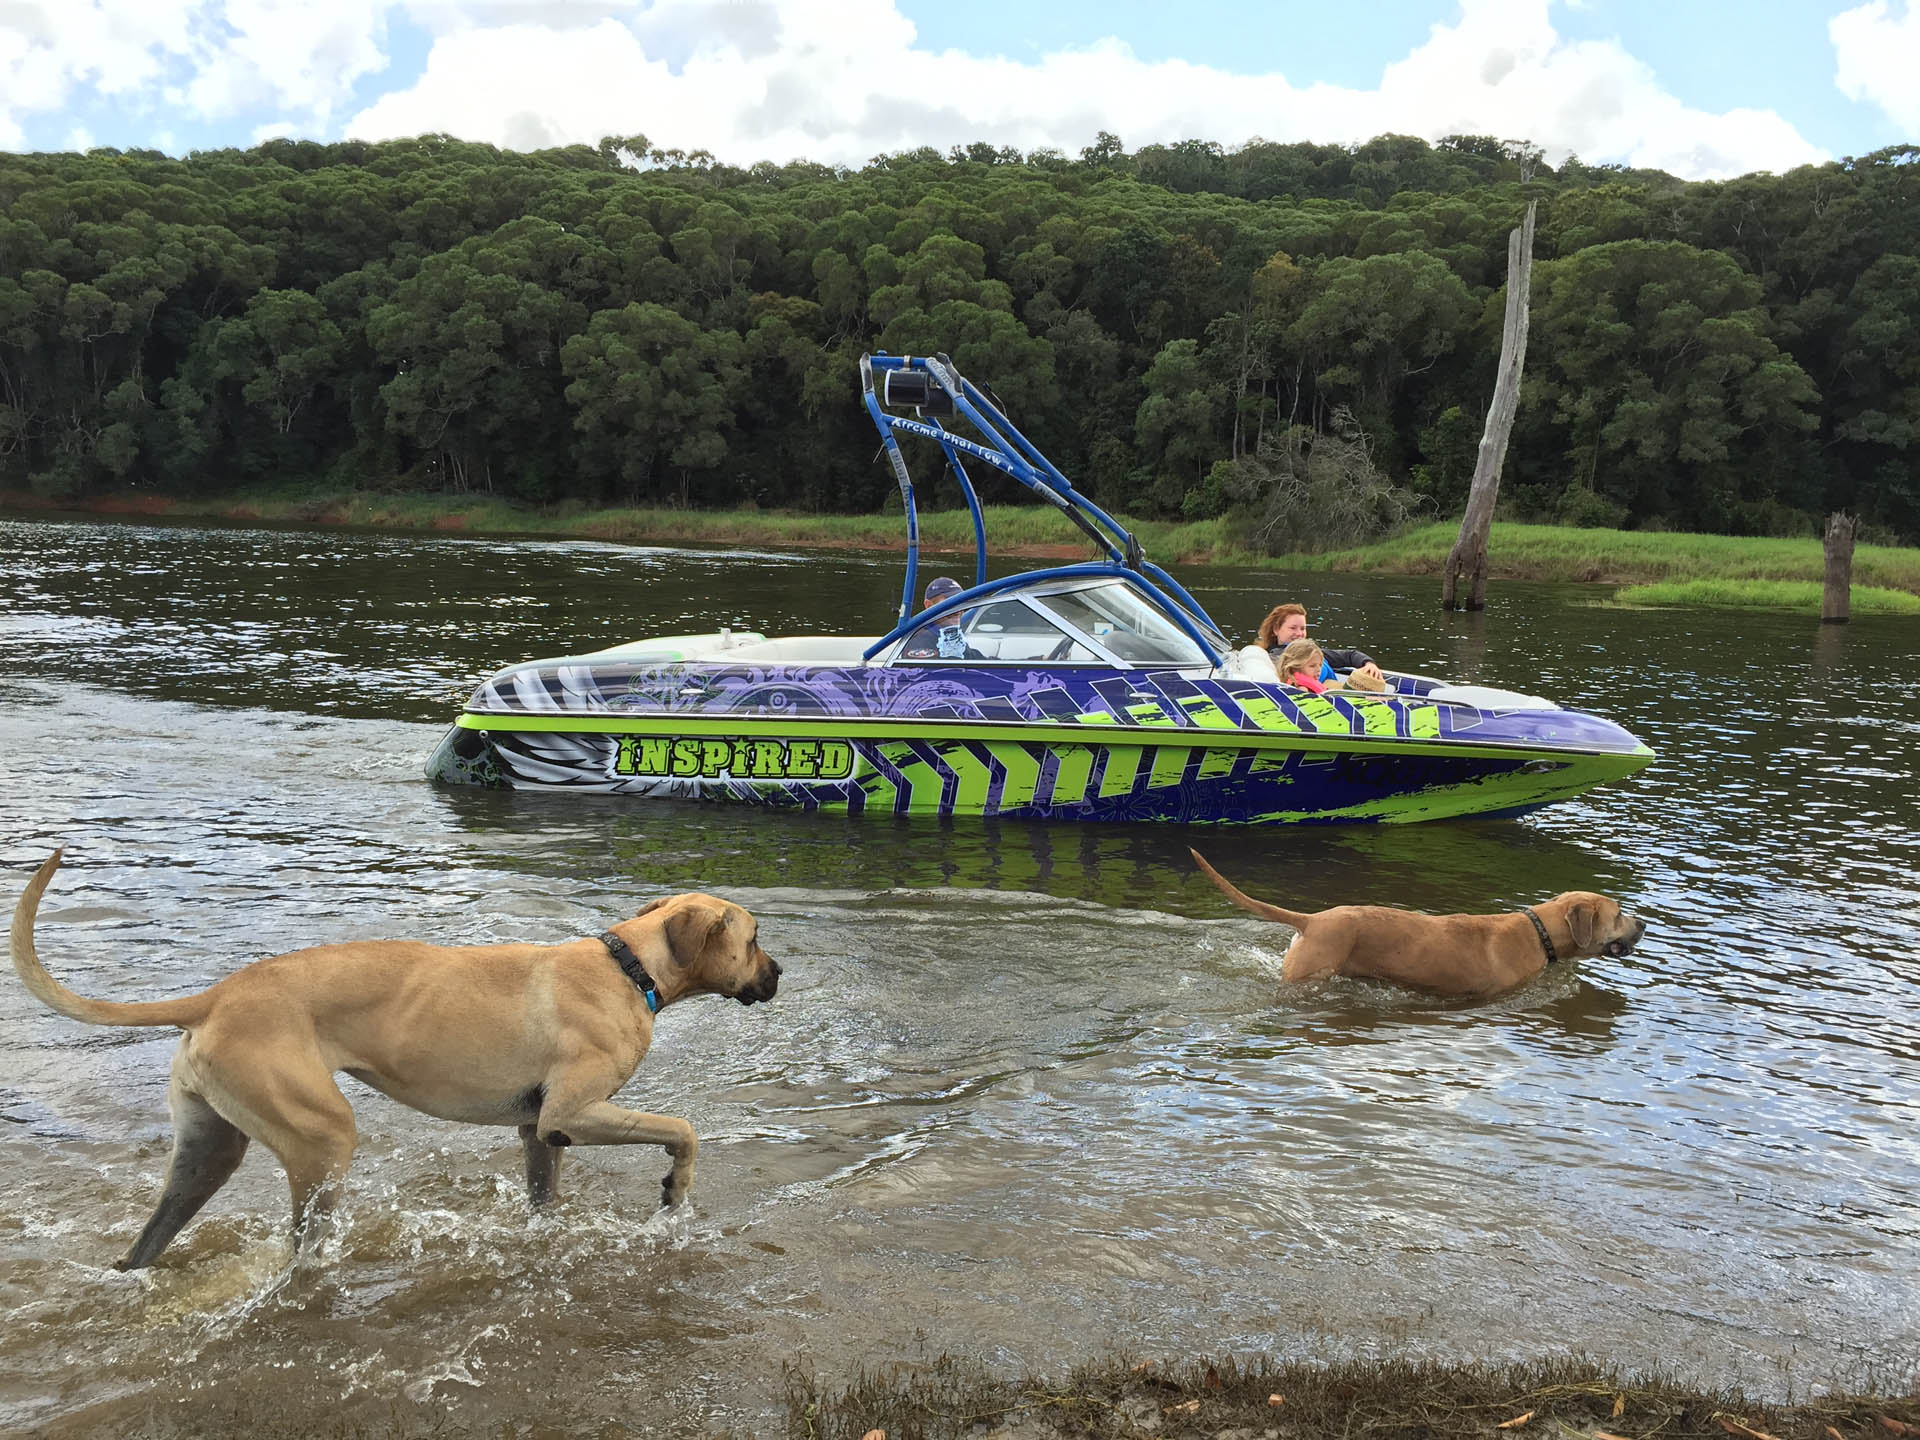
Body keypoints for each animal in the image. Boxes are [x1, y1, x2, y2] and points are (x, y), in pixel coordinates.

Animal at [9, 849, 781, 1270]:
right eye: (752, 938)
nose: (779, 974)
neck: (629, 966)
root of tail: (218, 997)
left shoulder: (537, 1130)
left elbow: (543, 1196)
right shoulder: (573, 1112)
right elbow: (684, 1130)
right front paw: (675, 1191)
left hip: (207, 1149)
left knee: (153, 1235)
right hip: (321, 1139)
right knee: (302, 1243)